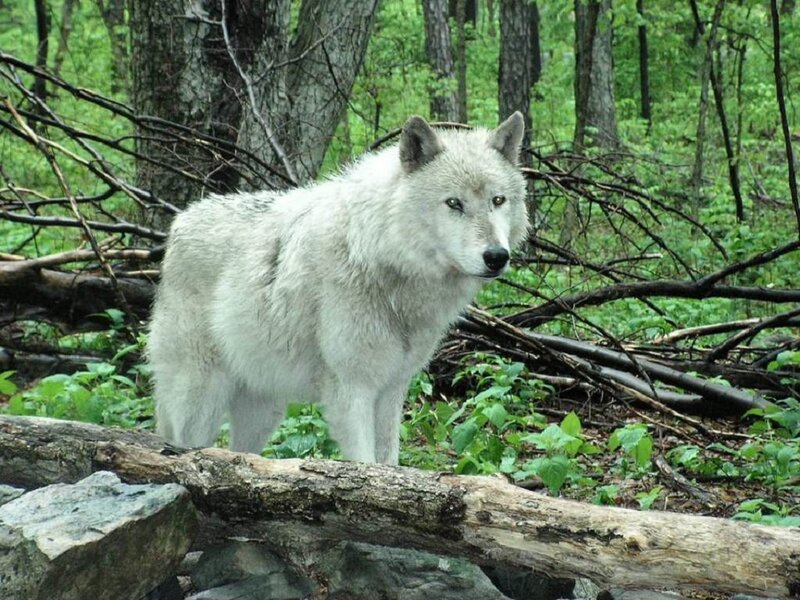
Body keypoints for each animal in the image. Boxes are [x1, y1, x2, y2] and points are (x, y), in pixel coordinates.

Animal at [148, 112, 528, 464]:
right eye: (453, 203)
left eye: (498, 200)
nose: (496, 256)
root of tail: (180, 221)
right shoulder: (352, 388)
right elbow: (365, 464)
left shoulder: (392, 389)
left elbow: (389, 462)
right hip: (200, 400)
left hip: (264, 411)